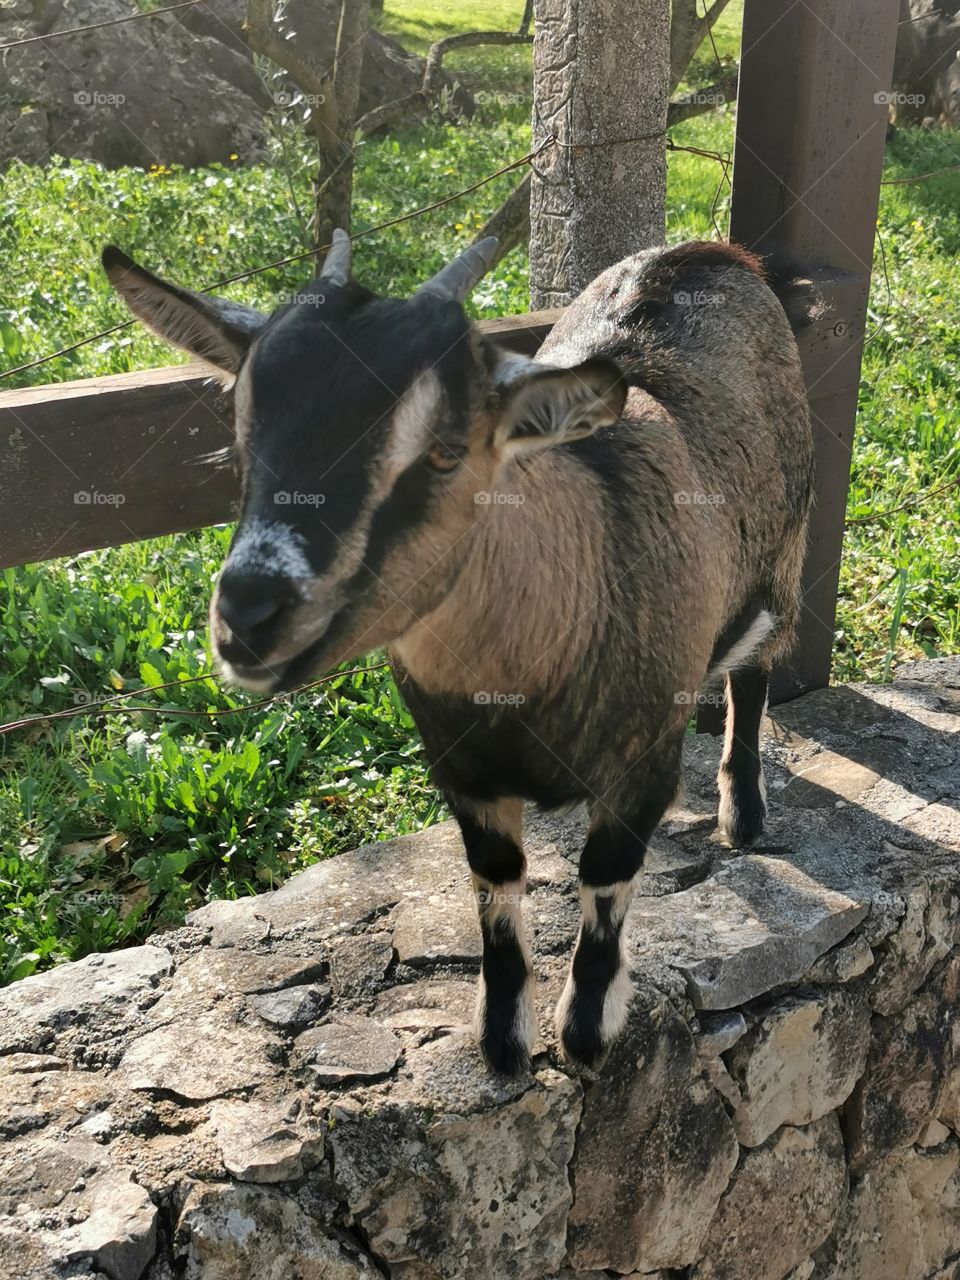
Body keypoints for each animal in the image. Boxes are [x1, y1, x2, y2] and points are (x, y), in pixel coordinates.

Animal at [103, 232, 815, 1075]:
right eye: (241, 446)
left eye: (444, 453)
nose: (247, 616)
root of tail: (714, 252)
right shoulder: (461, 771)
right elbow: (496, 885)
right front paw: (503, 1040)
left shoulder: (642, 765)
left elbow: (605, 883)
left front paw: (586, 1032)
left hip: (785, 552)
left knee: (757, 669)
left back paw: (745, 810)